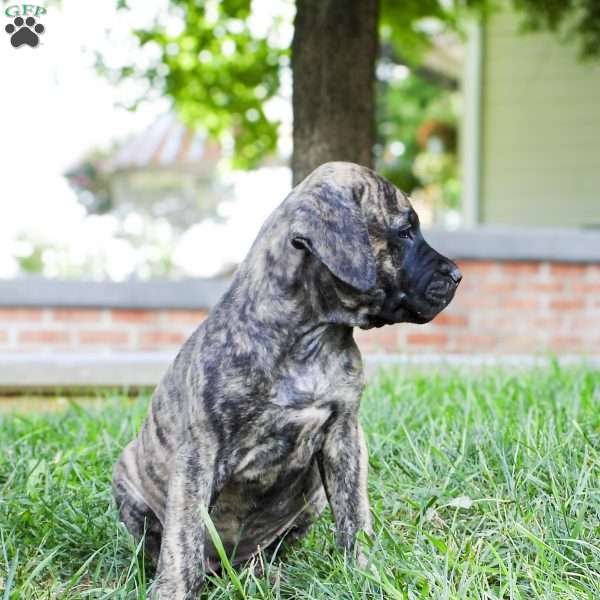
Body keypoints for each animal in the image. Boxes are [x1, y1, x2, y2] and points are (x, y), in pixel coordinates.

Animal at [111, 161, 460, 600]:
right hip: (127, 477)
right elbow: (183, 537)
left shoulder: (344, 434)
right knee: (161, 544)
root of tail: (228, 568)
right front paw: (172, 589)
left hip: (311, 500)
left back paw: (267, 575)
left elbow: (354, 511)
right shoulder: (199, 453)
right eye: (406, 231)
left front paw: (365, 572)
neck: (310, 336)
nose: (457, 275)